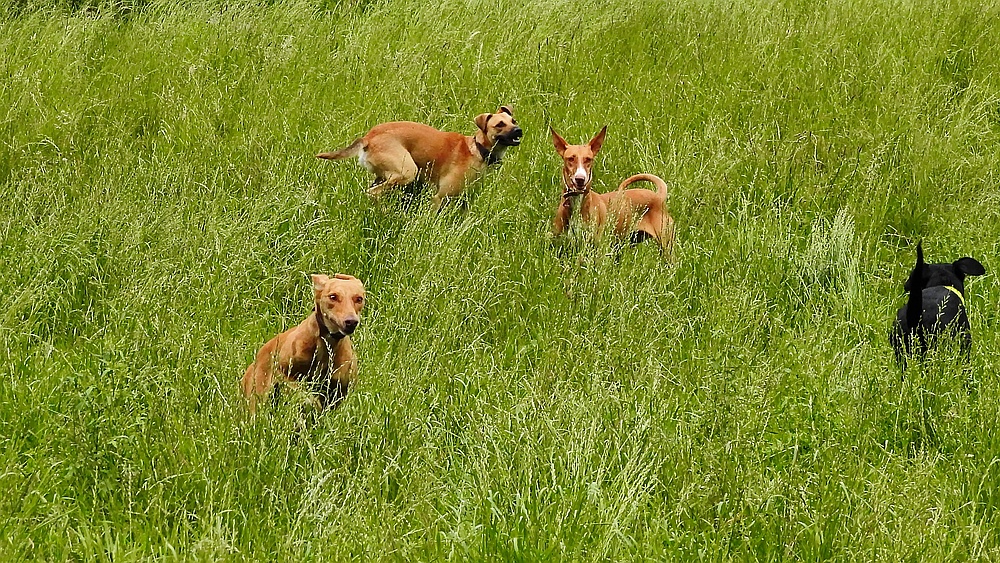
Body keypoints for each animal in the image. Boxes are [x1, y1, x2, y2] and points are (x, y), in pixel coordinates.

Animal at [242, 274, 368, 414]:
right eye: (333, 296)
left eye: (359, 299)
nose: (351, 322)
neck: (326, 345)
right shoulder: (286, 375)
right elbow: (304, 394)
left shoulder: (339, 391)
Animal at [318, 106, 524, 212]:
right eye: (499, 124)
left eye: (513, 121)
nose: (519, 130)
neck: (479, 150)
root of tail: (368, 137)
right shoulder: (439, 198)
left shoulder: (464, 201)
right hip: (407, 171)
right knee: (373, 193)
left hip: (384, 175)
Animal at [552, 125, 676, 256]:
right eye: (570, 159)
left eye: (588, 159)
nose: (580, 179)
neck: (577, 203)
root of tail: (658, 196)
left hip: (666, 248)